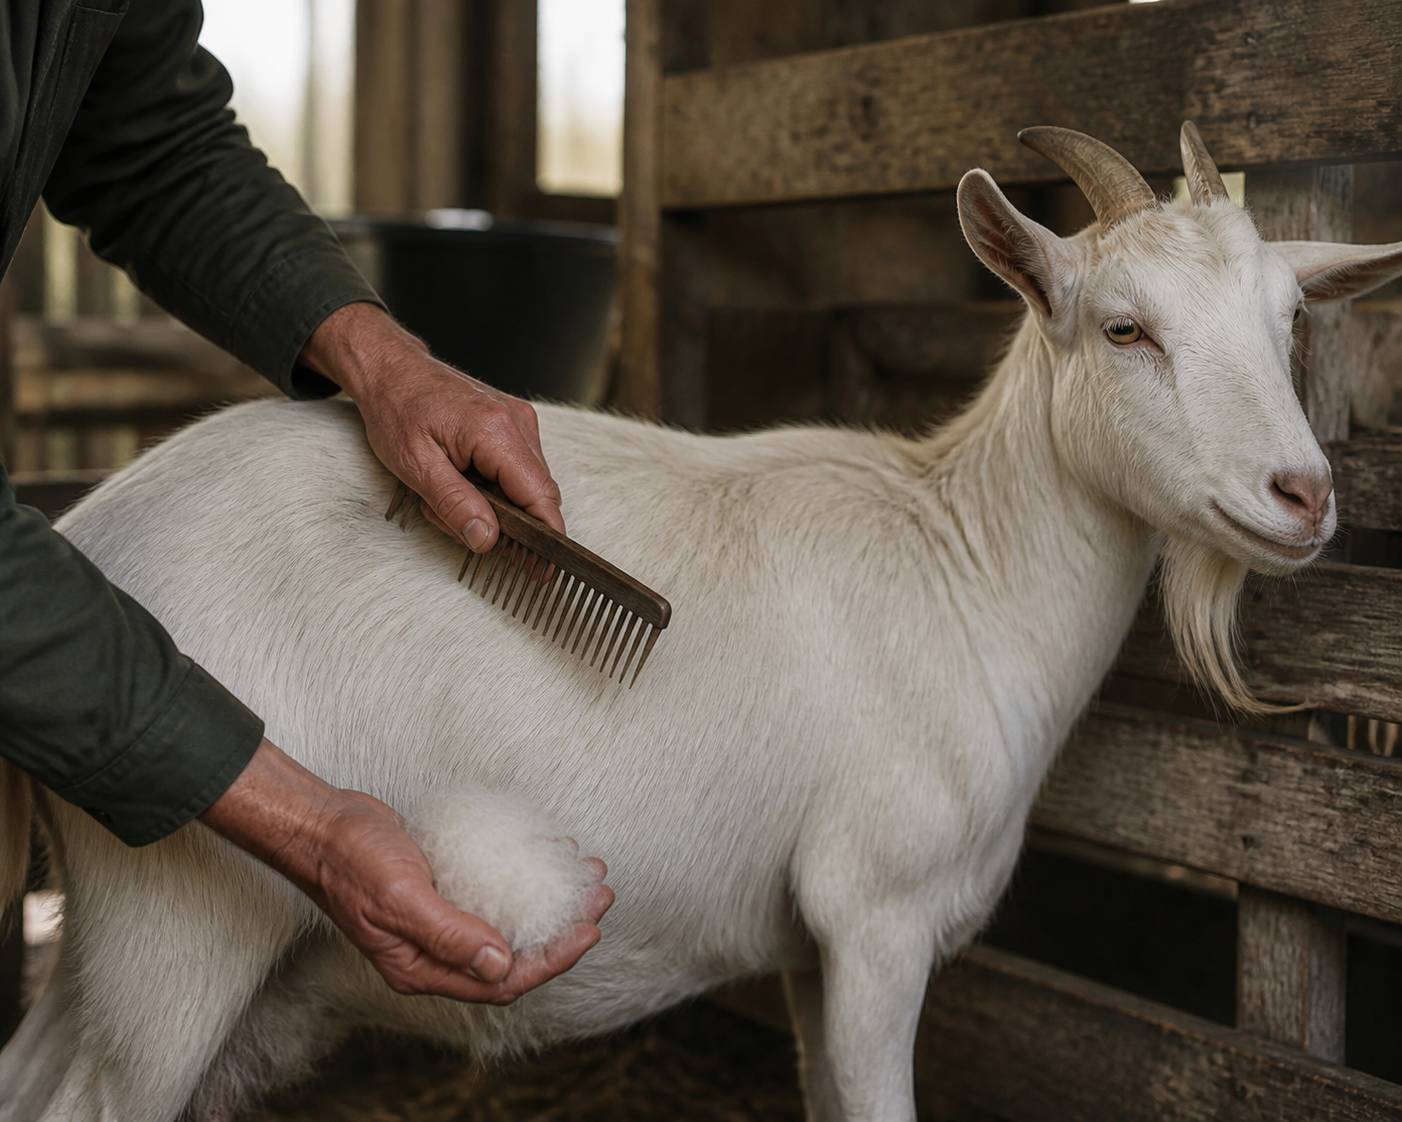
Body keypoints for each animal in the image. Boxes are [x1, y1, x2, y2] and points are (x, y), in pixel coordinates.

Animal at [4, 125, 1402, 1122]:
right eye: (1123, 330)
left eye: (1288, 322)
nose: (1302, 494)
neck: (961, 569)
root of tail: (94, 531)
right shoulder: (877, 913)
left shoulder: (811, 949)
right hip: (182, 910)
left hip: (117, 934)